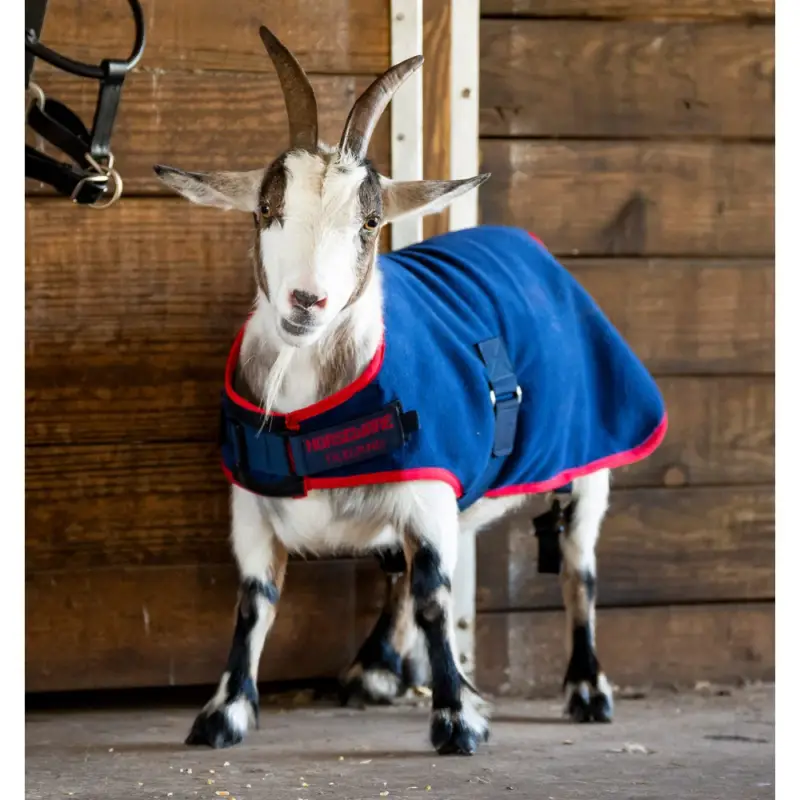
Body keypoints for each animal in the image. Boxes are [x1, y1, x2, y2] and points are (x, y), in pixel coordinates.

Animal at [155, 24, 667, 755]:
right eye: (265, 209)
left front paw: (457, 719)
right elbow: (254, 603)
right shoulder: (253, 504)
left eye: (369, 223)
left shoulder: (430, 488)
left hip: (591, 453)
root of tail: (526, 245)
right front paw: (224, 713)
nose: (306, 301)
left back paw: (588, 689)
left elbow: (434, 597)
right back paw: (373, 669)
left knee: (578, 566)